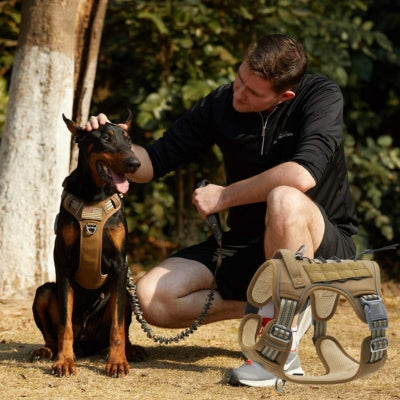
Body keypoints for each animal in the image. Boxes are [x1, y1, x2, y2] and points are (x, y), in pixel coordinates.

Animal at [30, 113, 147, 378]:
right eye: (105, 138)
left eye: (129, 139)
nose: (135, 163)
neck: (94, 195)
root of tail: (87, 343)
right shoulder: (63, 262)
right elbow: (63, 326)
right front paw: (64, 362)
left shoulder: (119, 264)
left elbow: (117, 325)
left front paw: (117, 362)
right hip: (43, 292)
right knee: (53, 334)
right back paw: (47, 351)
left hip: (126, 292)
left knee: (122, 328)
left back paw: (131, 351)